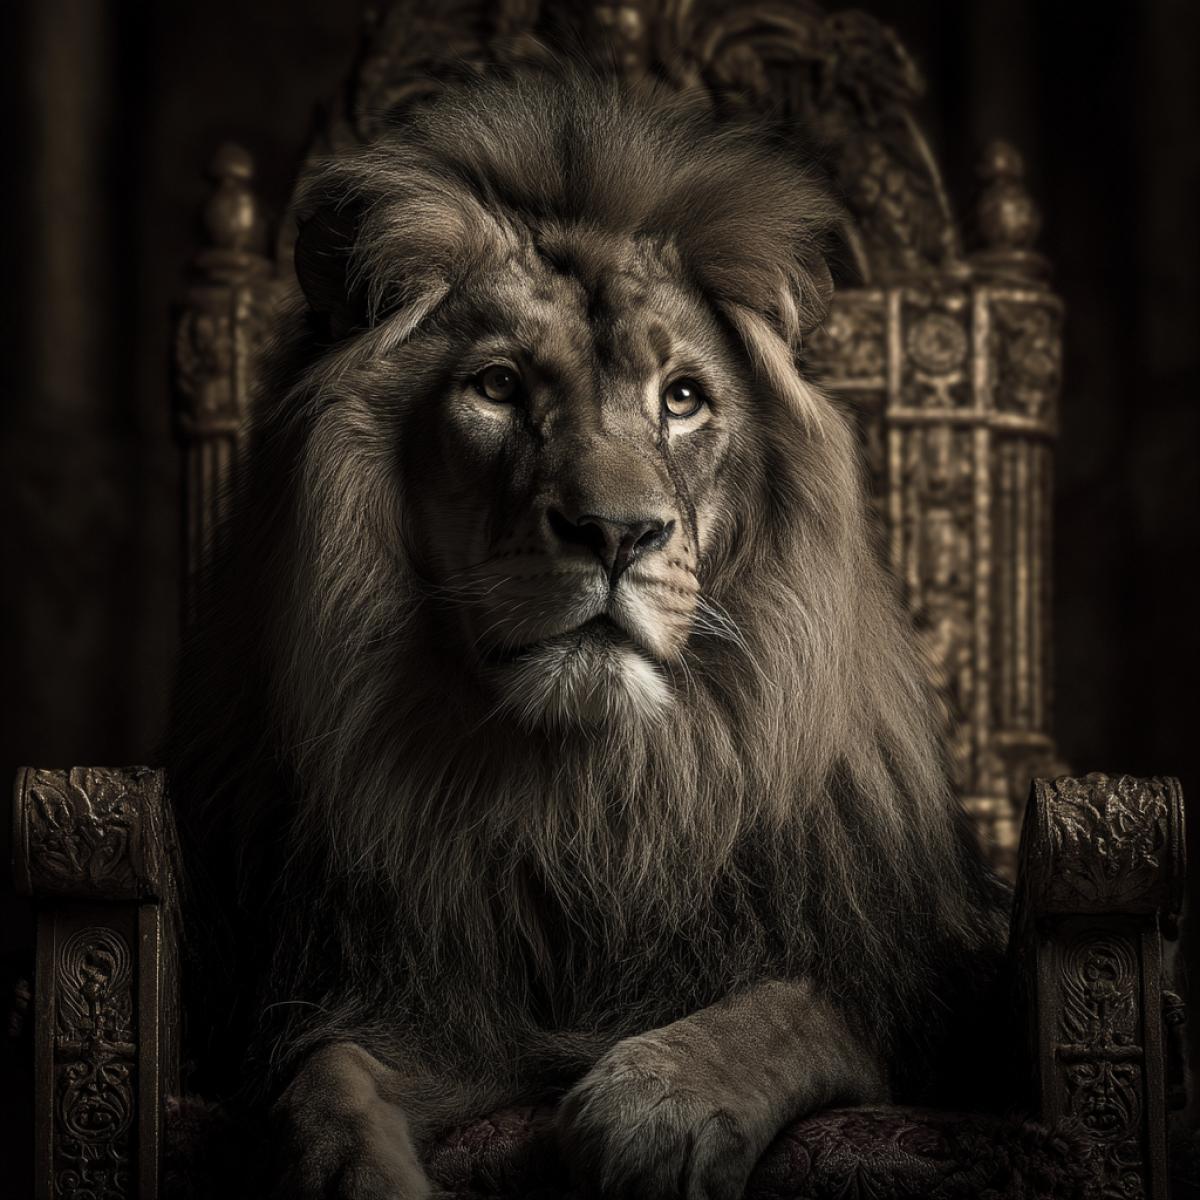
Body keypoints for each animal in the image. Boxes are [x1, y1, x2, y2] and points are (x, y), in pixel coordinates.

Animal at [168, 65, 1011, 1200]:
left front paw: (657, 1106)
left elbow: (793, 1005)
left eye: (684, 399)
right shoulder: (415, 1005)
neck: (588, 801)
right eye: (497, 388)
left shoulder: (914, 990)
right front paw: (360, 1172)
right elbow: (325, 1077)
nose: (617, 533)